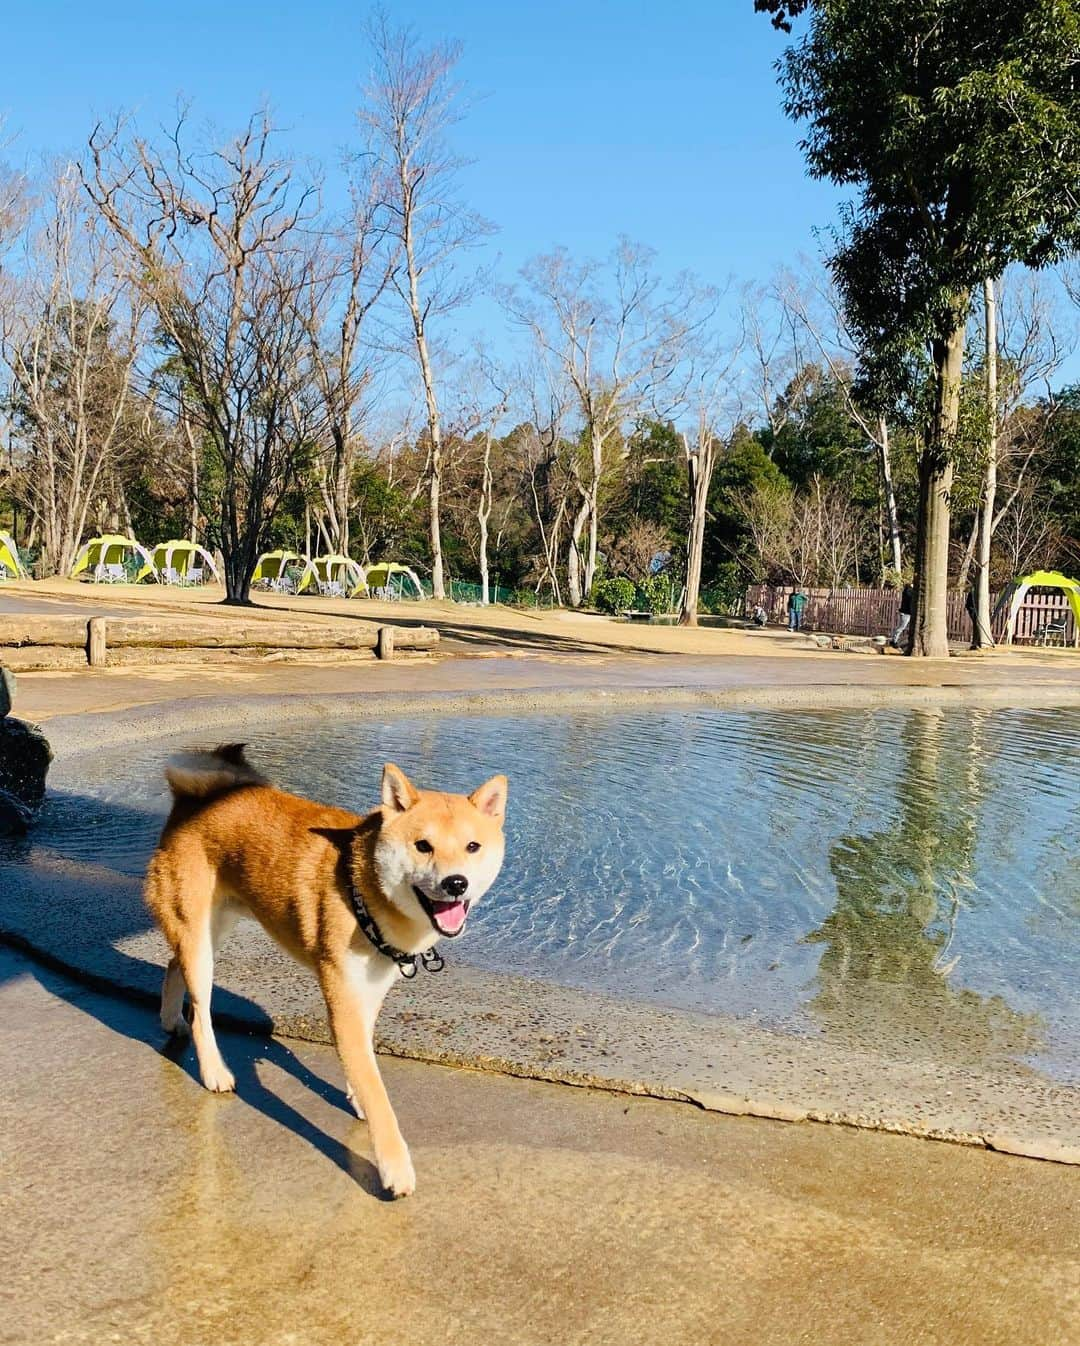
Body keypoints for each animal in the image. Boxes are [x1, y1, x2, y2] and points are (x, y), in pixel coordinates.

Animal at [142, 748, 506, 1200]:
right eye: (423, 846)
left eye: (473, 846)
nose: (456, 883)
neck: (363, 889)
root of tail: (193, 800)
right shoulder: (343, 998)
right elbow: (378, 1094)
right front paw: (394, 1166)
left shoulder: (368, 991)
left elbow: (363, 1062)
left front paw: (356, 1096)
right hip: (201, 942)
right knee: (201, 1011)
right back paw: (213, 1070)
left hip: (213, 930)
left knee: (174, 967)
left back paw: (169, 1018)